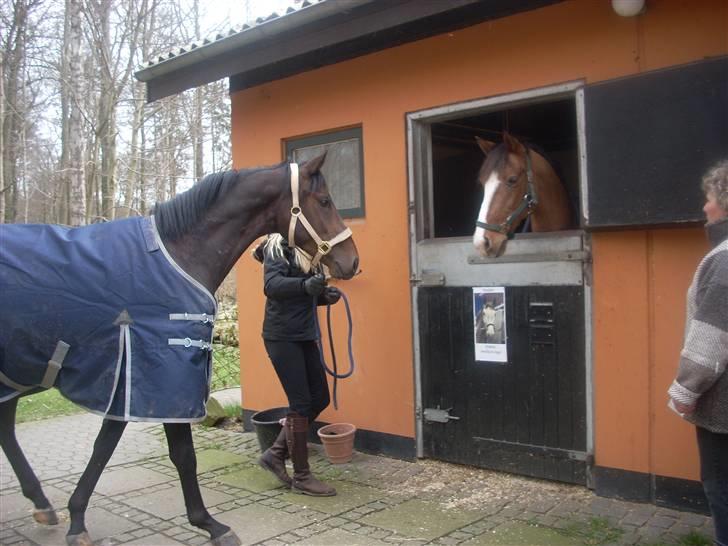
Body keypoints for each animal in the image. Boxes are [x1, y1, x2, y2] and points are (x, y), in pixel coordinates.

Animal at [0, 153, 358, 544]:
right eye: (324, 201)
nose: (352, 261)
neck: (180, 255)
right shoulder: (163, 375)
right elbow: (182, 454)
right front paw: (211, 524)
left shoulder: (130, 379)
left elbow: (104, 446)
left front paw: (77, 517)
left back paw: (42, 504)